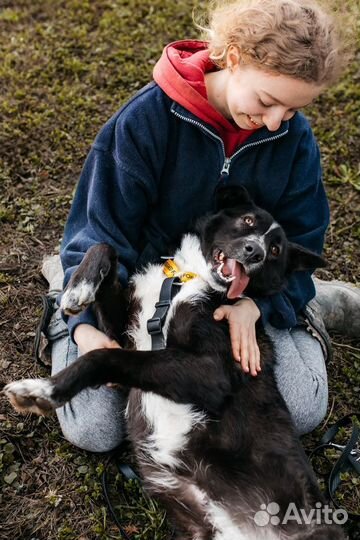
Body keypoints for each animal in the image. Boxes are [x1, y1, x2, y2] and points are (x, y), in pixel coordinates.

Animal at [3, 188, 346, 536]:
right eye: (248, 221)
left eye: (275, 250)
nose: (255, 252)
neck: (189, 276)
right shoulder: (123, 332)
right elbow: (104, 248)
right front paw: (77, 291)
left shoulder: (211, 373)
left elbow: (104, 356)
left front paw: (44, 391)